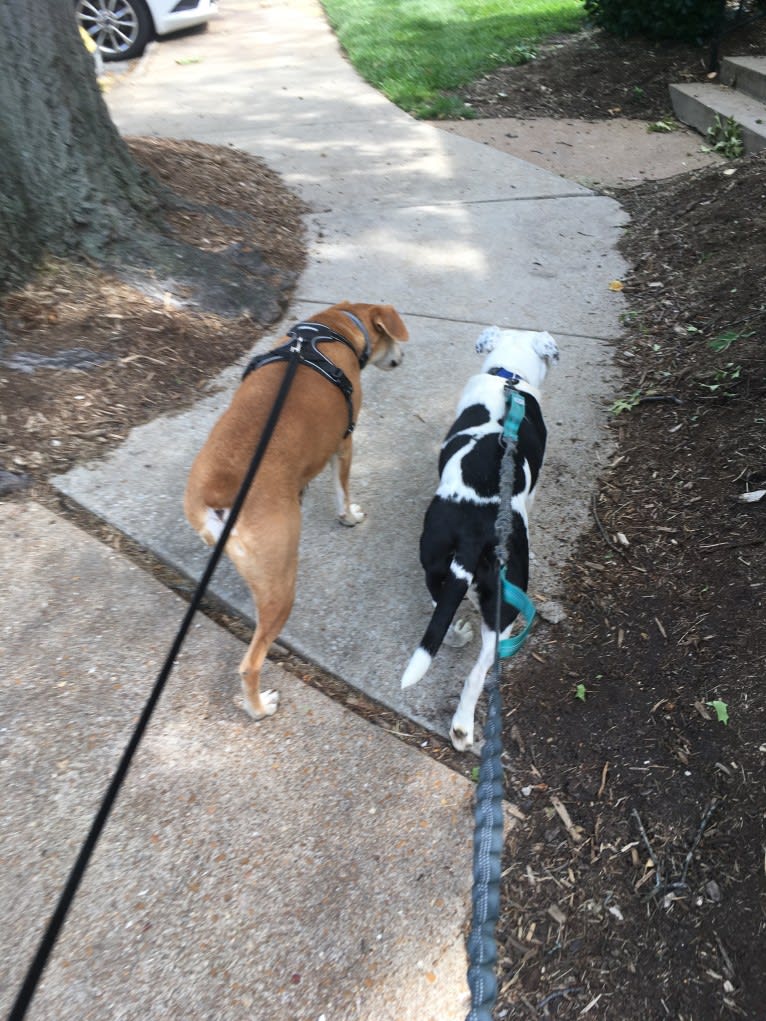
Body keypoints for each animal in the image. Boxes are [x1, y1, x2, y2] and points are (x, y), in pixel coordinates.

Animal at [183, 300, 410, 718]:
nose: (400, 358)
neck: (333, 327)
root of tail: (222, 488)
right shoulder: (345, 442)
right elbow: (342, 489)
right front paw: (349, 516)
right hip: (281, 587)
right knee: (250, 663)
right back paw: (259, 708)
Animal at [402, 326, 559, 751]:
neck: (510, 377)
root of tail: (476, 535)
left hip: (438, 562)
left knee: (442, 609)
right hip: (507, 605)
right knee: (479, 669)